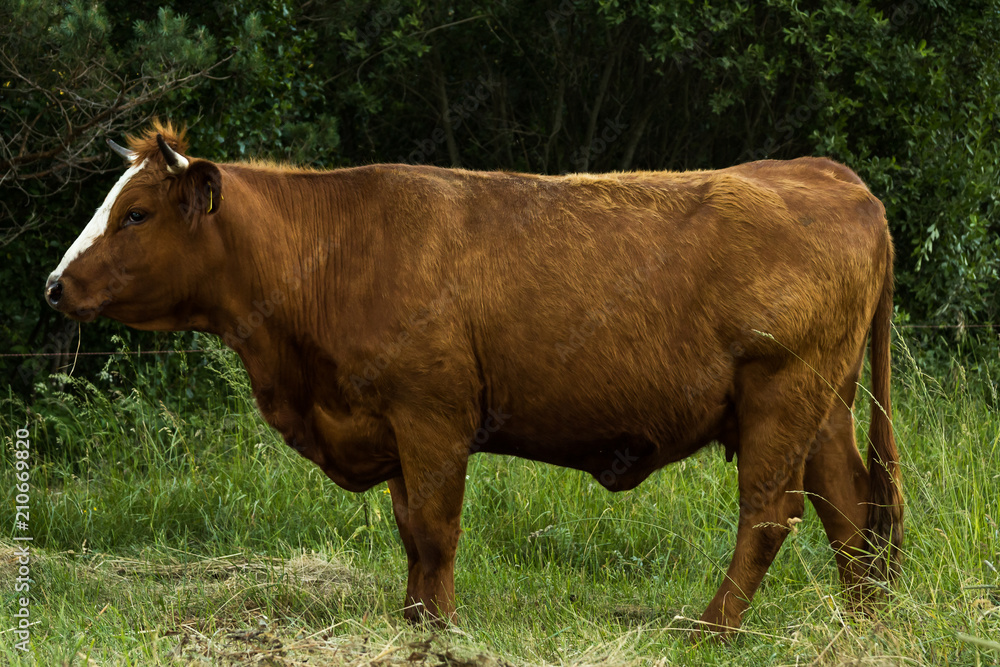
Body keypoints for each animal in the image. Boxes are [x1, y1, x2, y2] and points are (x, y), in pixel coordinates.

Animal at [45, 121, 903, 635]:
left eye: (137, 214)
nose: (56, 284)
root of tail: (830, 174)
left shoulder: (432, 417)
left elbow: (435, 528)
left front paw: (444, 627)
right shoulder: (391, 426)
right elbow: (409, 533)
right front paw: (414, 620)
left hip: (781, 397)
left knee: (769, 516)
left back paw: (711, 628)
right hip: (823, 409)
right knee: (852, 511)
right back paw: (862, 624)